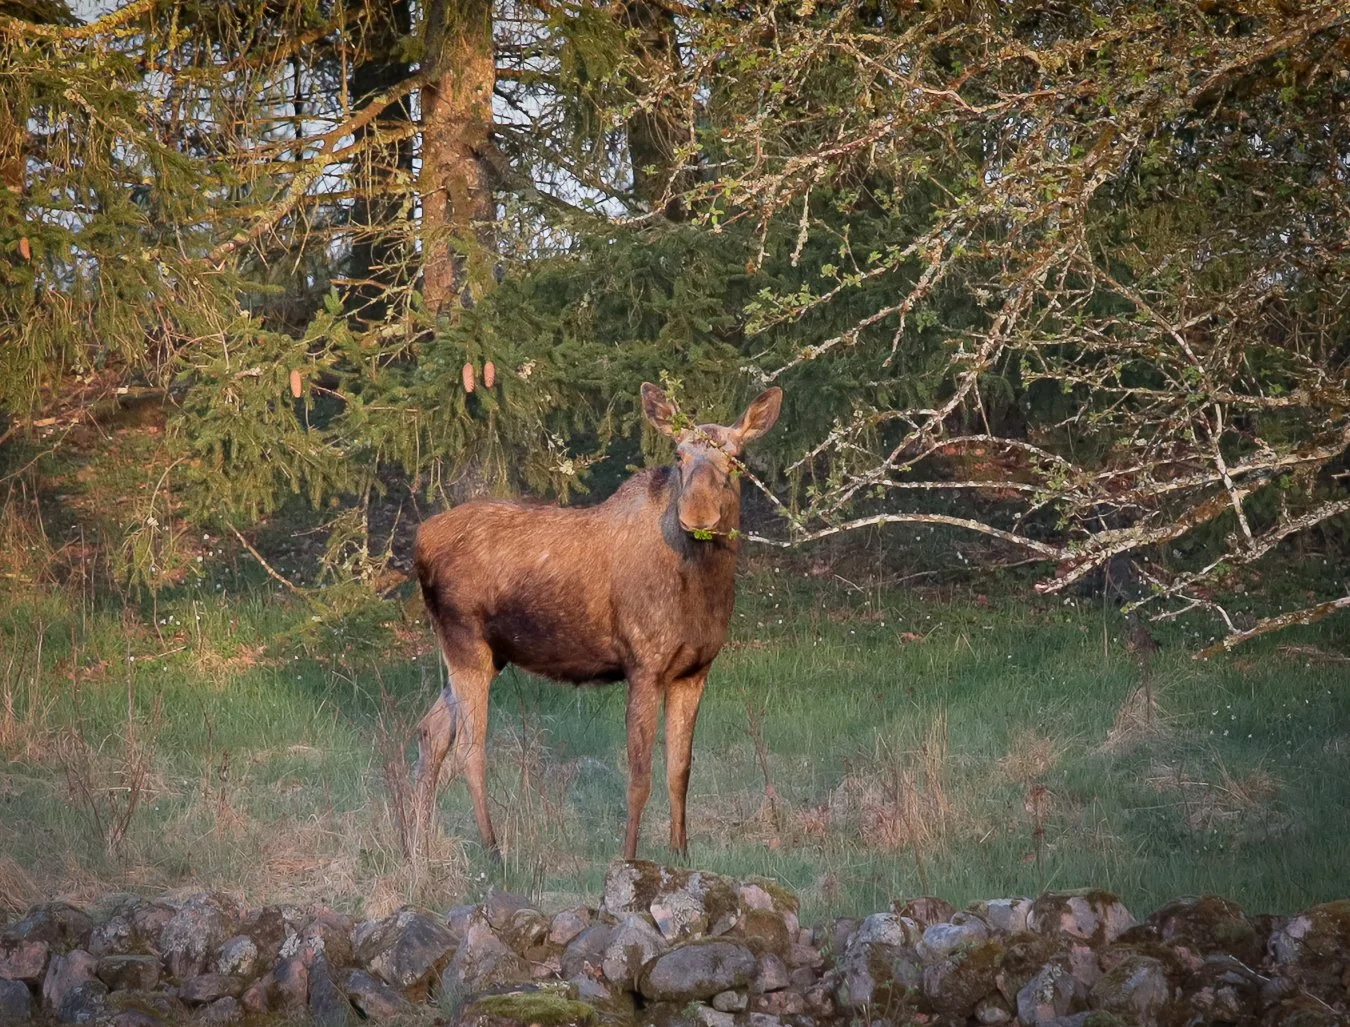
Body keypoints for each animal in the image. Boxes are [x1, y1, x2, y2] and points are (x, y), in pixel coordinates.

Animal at [411, 382, 783, 860]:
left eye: (736, 459)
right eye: (678, 455)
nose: (697, 515)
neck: (703, 589)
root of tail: (419, 539)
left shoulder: (695, 671)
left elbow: (680, 772)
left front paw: (681, 855)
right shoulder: (643, 665)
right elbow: (639, 776)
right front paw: (629, 858)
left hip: (488, 655)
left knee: (431, 731)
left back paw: (417, 848)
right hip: (466, 645)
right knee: (469, 750)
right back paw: (493, 852)